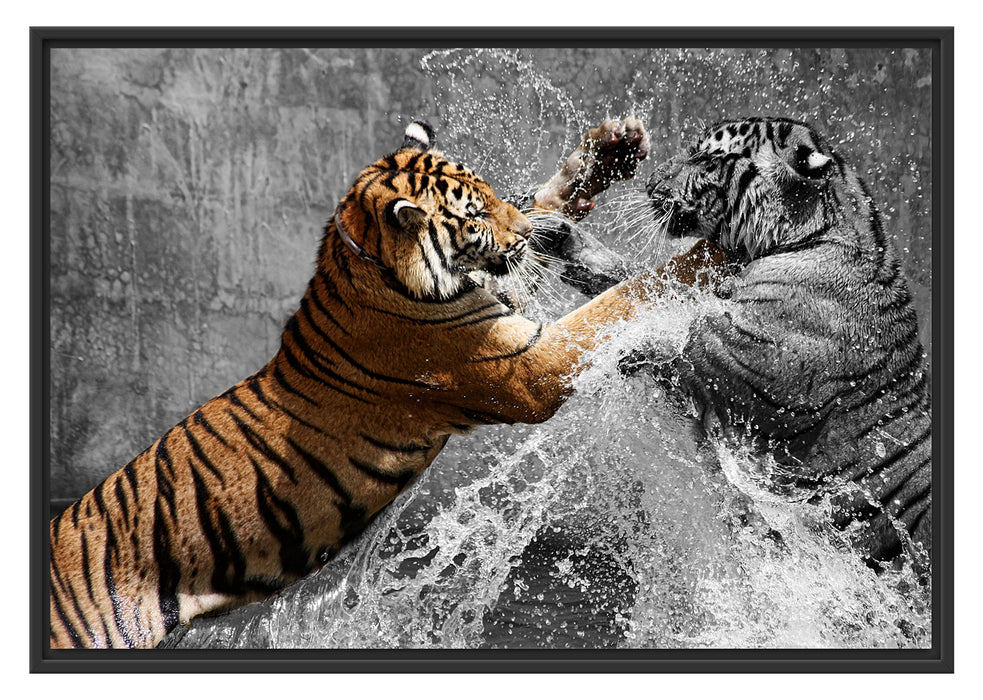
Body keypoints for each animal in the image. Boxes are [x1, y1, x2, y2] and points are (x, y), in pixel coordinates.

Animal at [48, 119, 727, 649]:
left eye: (490, 194)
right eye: (475, 215)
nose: (515, 234)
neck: (367, 263)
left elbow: (546, 205)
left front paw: (612, 150)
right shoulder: (526, 366)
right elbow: (622, 298)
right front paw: (714, 254)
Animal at [540, 117, 932, 568]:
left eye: (708, 158)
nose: (651, 182)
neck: (804, 238)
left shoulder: (742, 361)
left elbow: (672, 334)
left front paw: (613, 354)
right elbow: (641, 290)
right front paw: (564, 238)